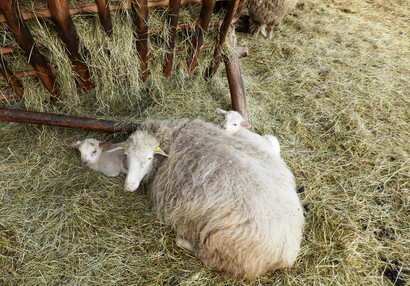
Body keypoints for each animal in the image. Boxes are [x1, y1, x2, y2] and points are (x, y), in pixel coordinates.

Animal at [115, 118, 304, 278]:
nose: (129, 185)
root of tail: (287, 253)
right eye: (126, 155)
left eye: (149, 157)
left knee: (207, 256)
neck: (175, 139)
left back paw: (183, 240)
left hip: (222, 244)